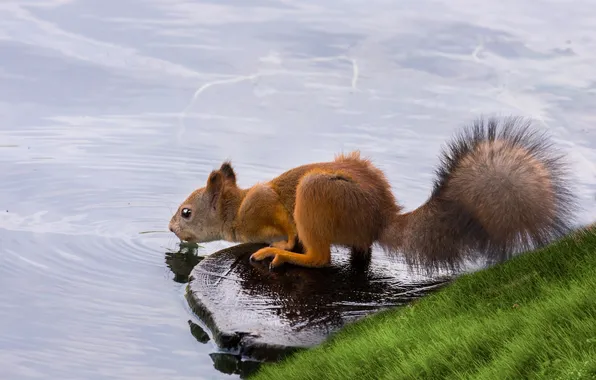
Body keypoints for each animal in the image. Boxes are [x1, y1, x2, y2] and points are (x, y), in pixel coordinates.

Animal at [168, 116, 576, 274]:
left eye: (186, 212)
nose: (171, 229)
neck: (235, 210)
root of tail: (381, 218)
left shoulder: (264, 205)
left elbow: (285, 225)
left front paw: (280, 242)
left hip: (317, 195)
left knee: (320, 258)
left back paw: (283, 254)